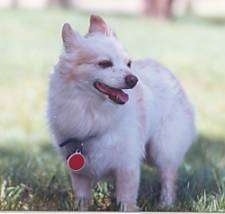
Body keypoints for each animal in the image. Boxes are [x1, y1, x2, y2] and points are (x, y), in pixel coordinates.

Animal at [47, 15, 195, 211]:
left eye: (128, 64)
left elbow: (126, 199)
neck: (92, 108)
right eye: (104, 64)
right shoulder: (79, 172)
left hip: (164, 148)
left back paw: (166, 204)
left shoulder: (127, 165)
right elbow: (82, 198)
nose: (133, 79)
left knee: (168, 177)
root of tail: (165, 70)